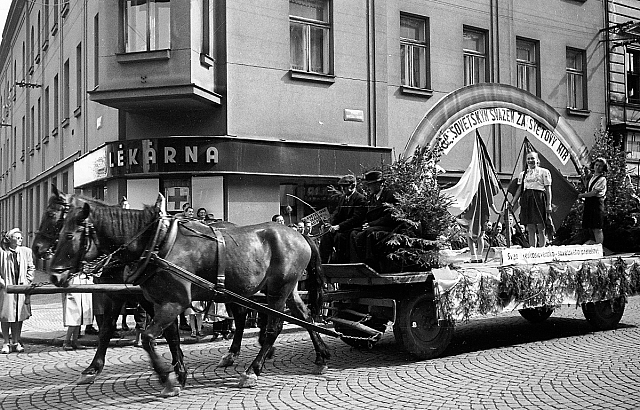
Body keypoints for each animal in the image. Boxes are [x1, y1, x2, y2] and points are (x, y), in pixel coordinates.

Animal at [32, 187, 188, 392]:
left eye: (50, 214)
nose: (36, 247)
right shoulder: (116, 296)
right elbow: (106, 328)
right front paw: (92, 369)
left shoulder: (152, 298)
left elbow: (170, 330)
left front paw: (178, 370)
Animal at [47, 194, 330, 392]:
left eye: (69, 234)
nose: (54, 275)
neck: (157, 242)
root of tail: (299, 234)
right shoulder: (160, 302)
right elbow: (169, 337)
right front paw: (179, 373)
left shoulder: (173, 302)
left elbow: (148, 338)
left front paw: (167, 378)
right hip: (286, 289)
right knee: (304, 316)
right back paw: (321, 356)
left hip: (278, 291)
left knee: (273, 327)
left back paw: (252, 370)